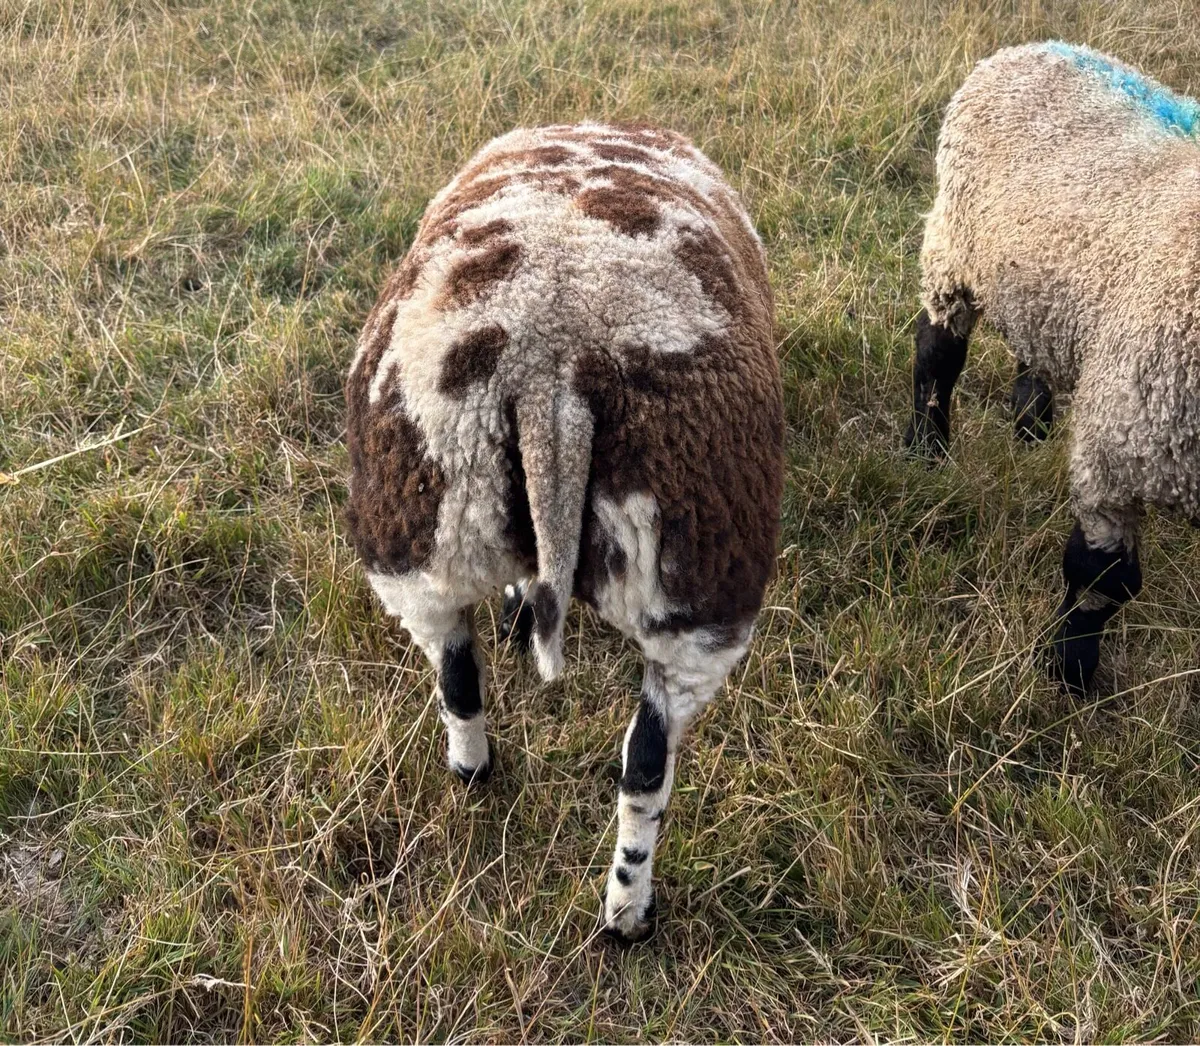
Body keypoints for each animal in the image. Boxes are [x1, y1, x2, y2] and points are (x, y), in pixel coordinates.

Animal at [343, 122, 784, 942]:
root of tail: (551, 375)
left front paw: (520, 607)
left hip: (416, 546)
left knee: (456, 677)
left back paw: (473, 771)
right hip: (700, 598)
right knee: (646, 765)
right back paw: (628, 914)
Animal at [905, 41, 1200, 695]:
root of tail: (1038, 47)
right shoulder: (1117, 447)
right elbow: (1101, 579)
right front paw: (1069, 675)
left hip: (1043, 284)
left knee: (1031, 352)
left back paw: (1030, 425)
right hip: (954, 248)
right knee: (936, 357)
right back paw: (926, 447)